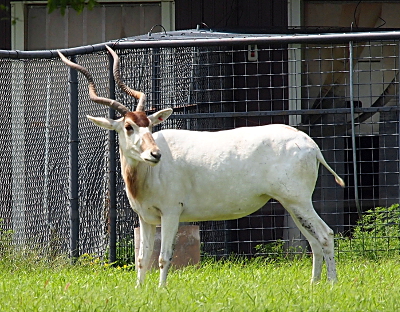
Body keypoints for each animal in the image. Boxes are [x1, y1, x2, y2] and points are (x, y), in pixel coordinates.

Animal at [58, 45, 344, 286]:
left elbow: (163, 257)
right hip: (292, 204)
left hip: (298, 201)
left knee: (325, 235)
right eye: (129, 126)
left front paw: (160, 291)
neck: (149, 175)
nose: (155, 154)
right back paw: (313, 285)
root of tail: (309, 144)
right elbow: (142, 259)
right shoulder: (146, 218)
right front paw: (140, 290)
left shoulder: (171, 213)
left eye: (148, 125)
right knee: (314, 241)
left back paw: (331, 284)